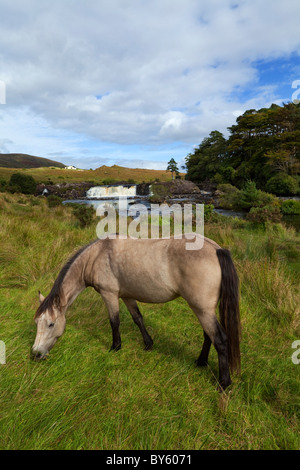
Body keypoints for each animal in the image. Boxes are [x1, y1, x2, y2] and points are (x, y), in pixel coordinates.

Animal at [31, 234, 240, 390]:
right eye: (37, 323)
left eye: (50, 324)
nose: (35, 354)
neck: (97, 254)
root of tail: (216, 249)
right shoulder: (127, 296)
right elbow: (138, 318)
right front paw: (148, 344)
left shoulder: (109, 294)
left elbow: (114, 321)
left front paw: (115, 346)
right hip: (204, 310)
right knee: (208, 335)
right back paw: (201, 362)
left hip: (202, 310)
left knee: (220, 339)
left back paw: (223, 383)